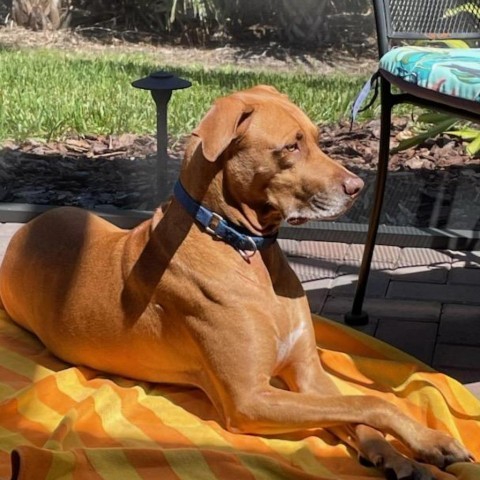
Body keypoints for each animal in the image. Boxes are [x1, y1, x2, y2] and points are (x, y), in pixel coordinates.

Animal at [0, 87, 472, 480]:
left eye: (318, 138)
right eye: (291, 146)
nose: (357, 187)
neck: (245, 248)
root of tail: (27, 228)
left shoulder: (307, 374)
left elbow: (358, 411)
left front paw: (408, 455)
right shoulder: (249, 399)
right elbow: (372, 401)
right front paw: (432, 442)